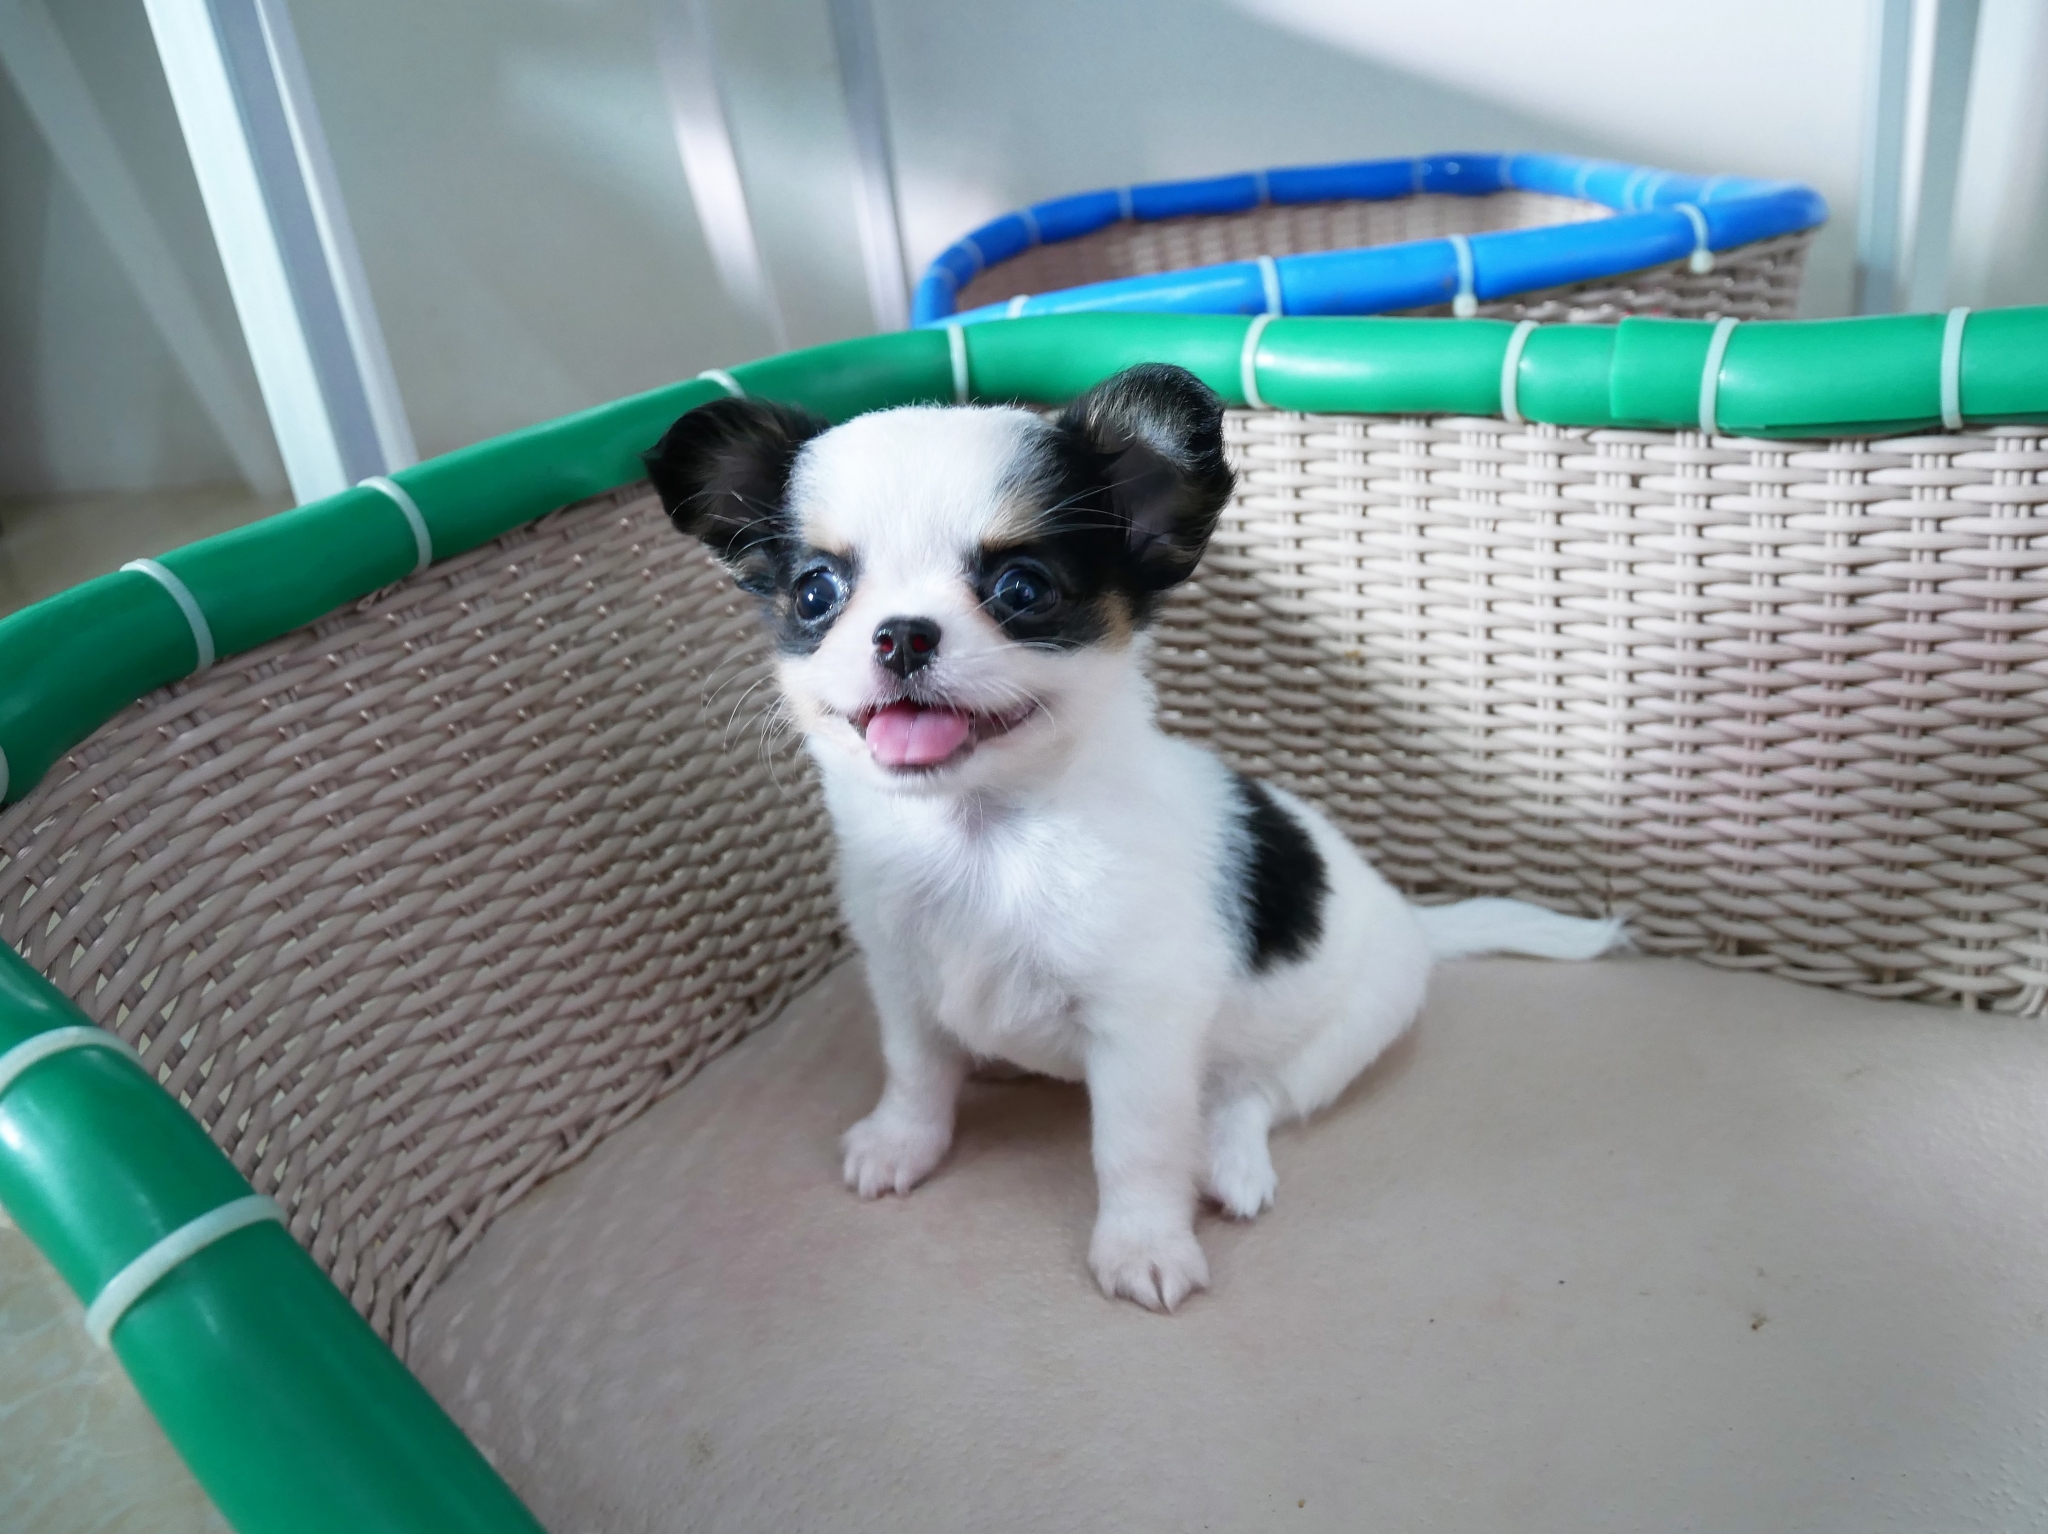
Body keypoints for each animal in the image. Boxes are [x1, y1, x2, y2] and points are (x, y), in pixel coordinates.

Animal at [647, 363, 1622, 1311]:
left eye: (1022, 589)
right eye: (817, 593)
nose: (902, 635)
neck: (983, 837)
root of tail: (1415, 921)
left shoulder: (1140, 1032)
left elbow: (1137, 1149)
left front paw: (1144, 1245)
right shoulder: (903, 982)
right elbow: (916, 1073)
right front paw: (902, 1142)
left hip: (1347, 1034)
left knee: (1252, 1096)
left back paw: (1231, 1163)